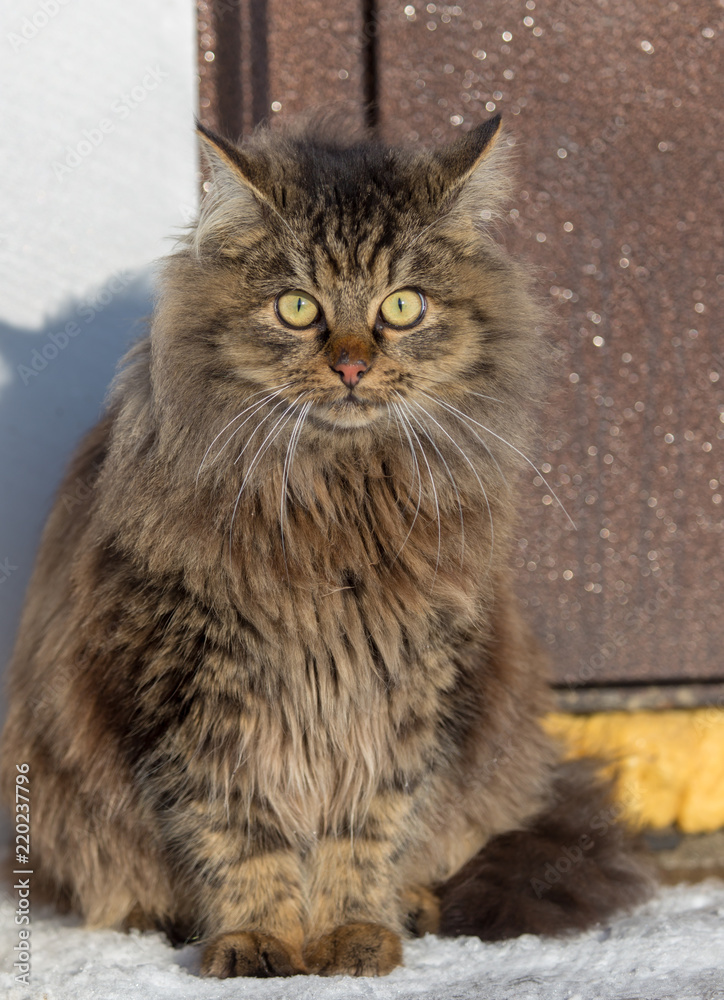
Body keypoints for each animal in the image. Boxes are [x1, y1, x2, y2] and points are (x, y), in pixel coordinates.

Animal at [0, 111, 652, 976]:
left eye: (402, 306)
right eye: (297, 307)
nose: (350, 365)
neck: (337, 504)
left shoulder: (403, 696)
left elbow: (366, 833)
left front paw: (353, 934)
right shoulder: (193, 695)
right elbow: (242, 839)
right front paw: (258, 942)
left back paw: (415, 906)